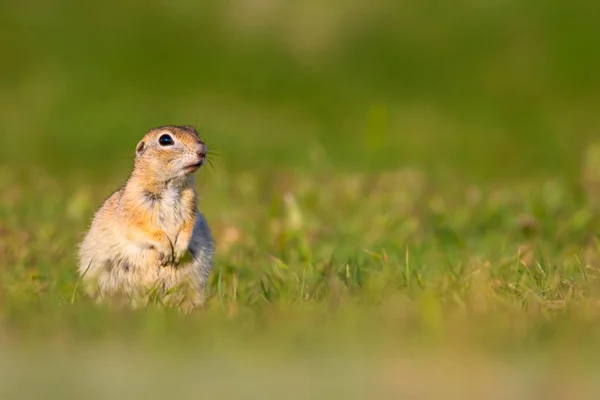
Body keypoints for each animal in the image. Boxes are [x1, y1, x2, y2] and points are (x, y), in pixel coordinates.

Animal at [77, 126, 213, 310]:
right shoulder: (134, 210)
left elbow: (187, 227)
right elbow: (142, 230)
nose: (202, 151)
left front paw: (179, 250)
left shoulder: (190, 207)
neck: (171, 186)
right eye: (165, 140)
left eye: (195, 132)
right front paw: (166, 249)